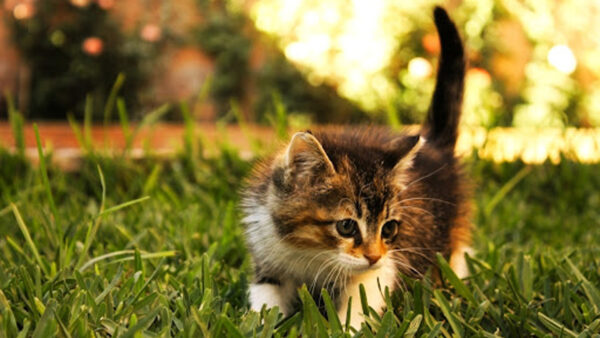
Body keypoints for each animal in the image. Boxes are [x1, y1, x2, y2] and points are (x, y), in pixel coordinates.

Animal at [241, 6, 472, 328]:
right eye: (347, 226)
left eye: (389, 228)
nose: (373, 256)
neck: (310, 252)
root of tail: (435, 145)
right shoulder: (266, 255)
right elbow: (266, 301)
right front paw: (262, 324)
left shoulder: (383, 267)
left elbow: (361, 301)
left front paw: (344, 328)